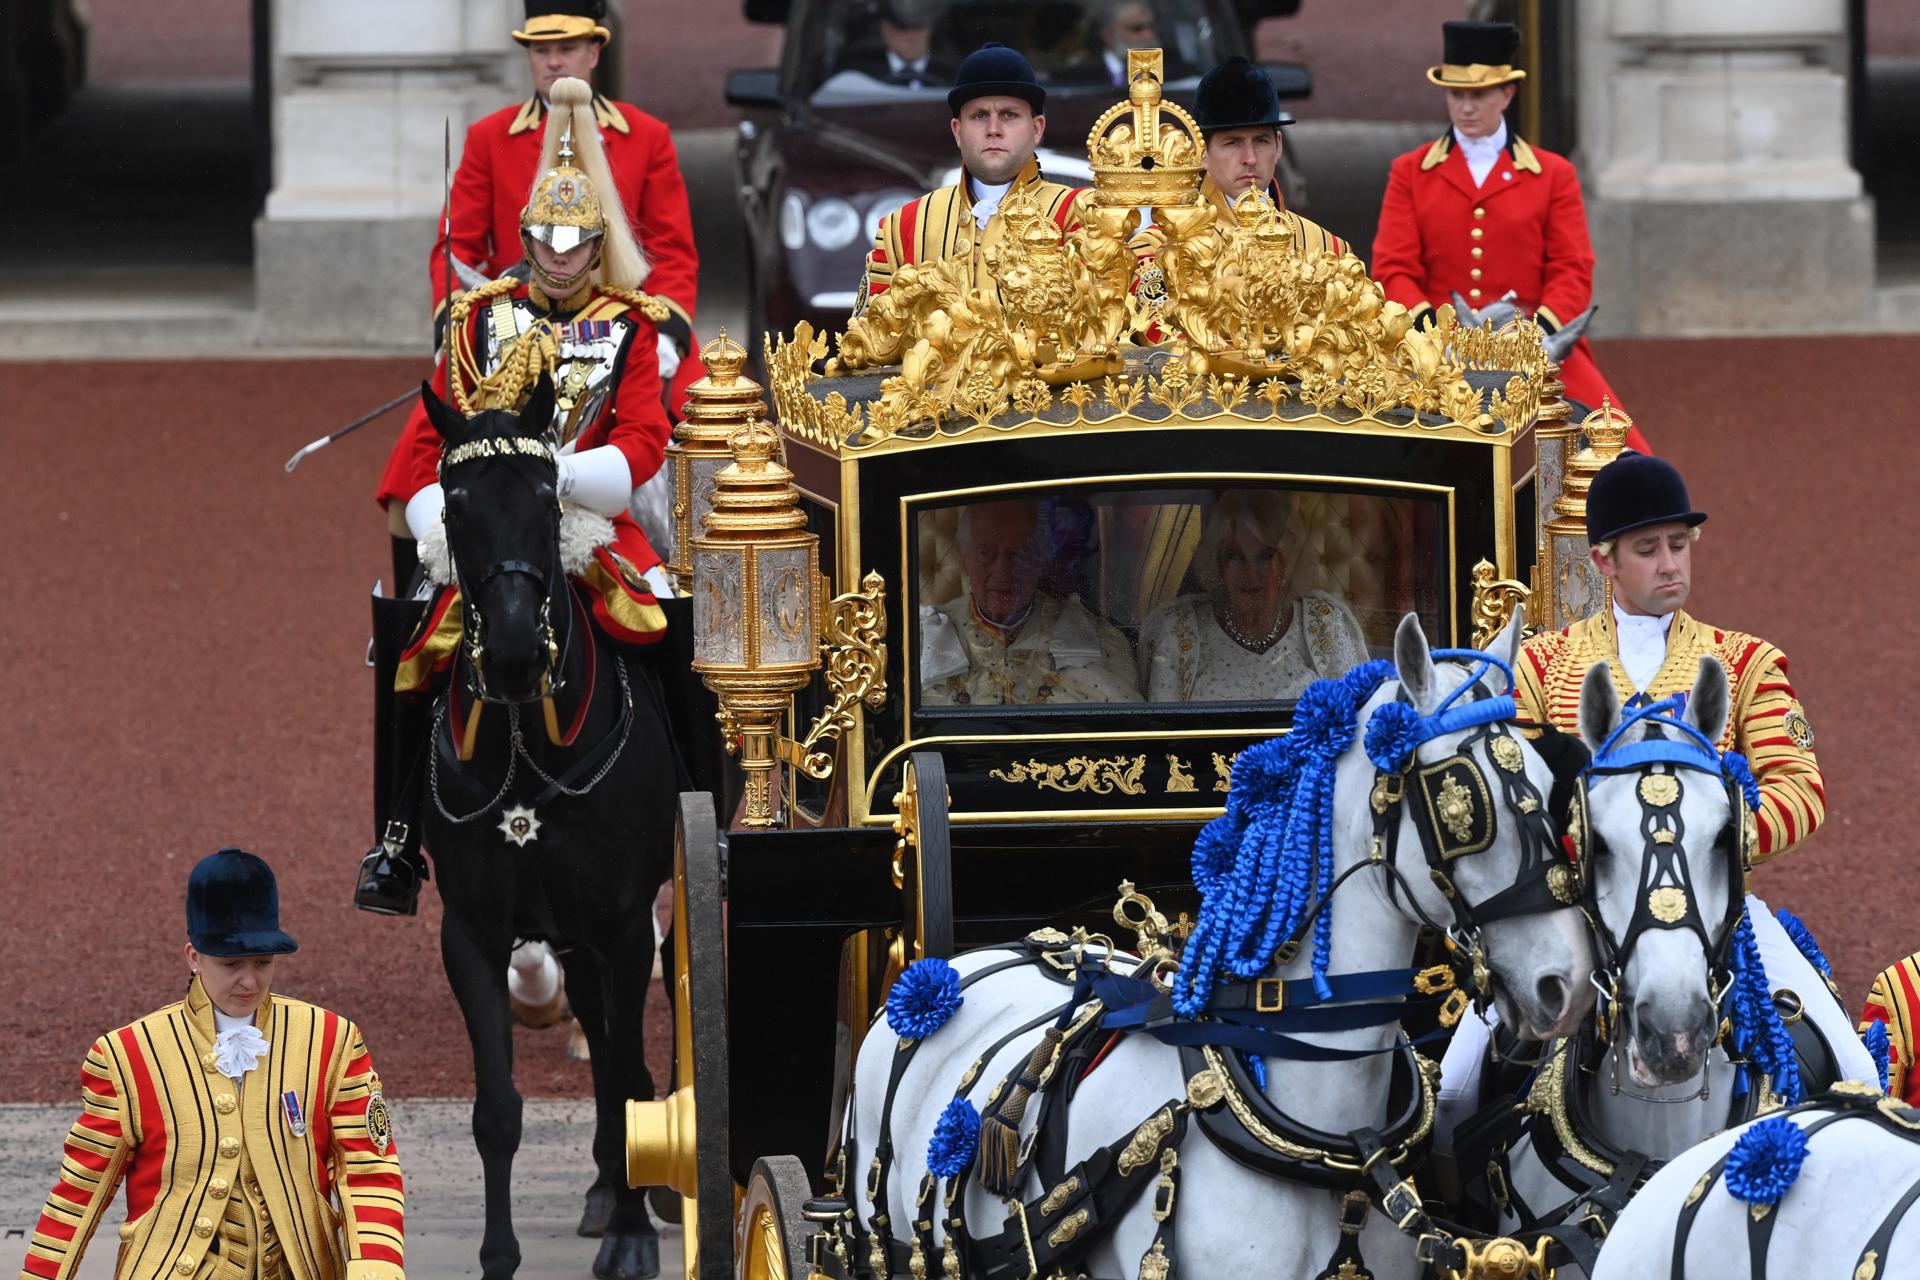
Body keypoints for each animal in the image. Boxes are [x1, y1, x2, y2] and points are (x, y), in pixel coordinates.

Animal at [420, 383, 683, 1280]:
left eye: (547, 498)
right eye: (455, 506)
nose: (510, 656)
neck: (527, 755)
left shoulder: (624, 922)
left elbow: (632, 1072)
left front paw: (635, 1237)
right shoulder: (472, 931)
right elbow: (498, 1106)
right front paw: (499, 1256)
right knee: (597, 1033)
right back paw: (607, 1184)